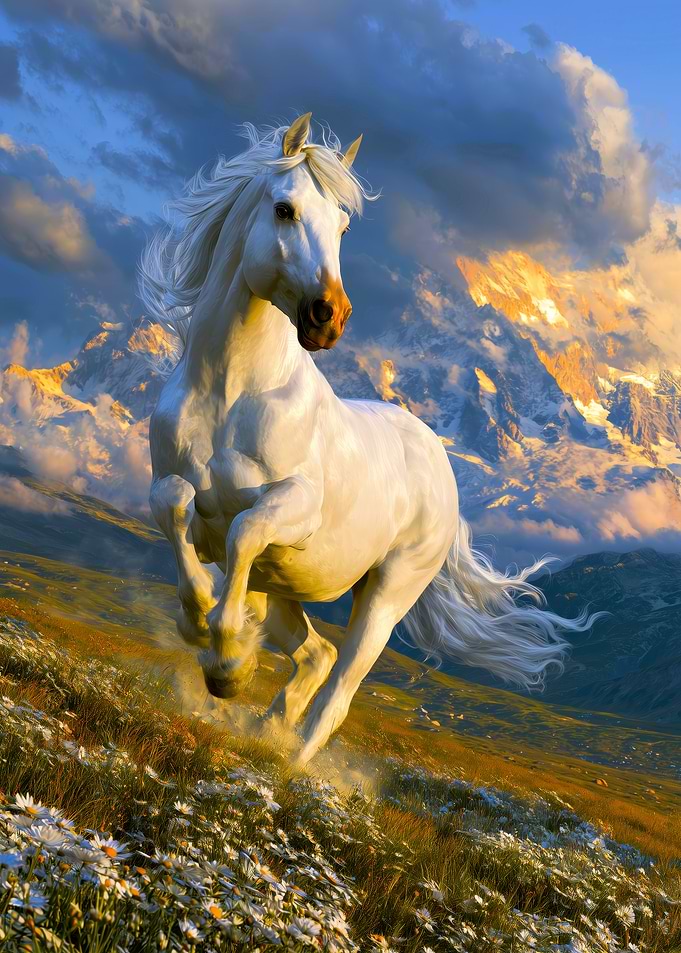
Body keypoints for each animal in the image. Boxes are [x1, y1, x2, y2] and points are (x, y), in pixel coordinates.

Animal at [140, 113, 594, 766]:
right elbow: (176, 506)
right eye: (284, 209)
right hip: (283, 586)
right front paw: (204, 628)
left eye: (343, 225)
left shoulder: (295, 508)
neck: (230, 392)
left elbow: (245, 528)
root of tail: (440, 466)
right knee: (315, 654)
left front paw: (226, 660)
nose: (329, 316)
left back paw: (289, 760)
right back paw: (267, 724)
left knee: (339, 690)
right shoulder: (184, 504)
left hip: (385, 597)